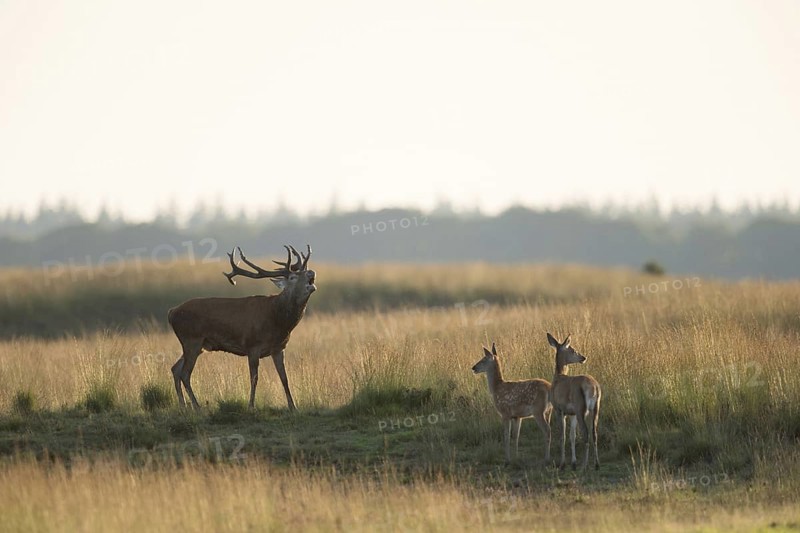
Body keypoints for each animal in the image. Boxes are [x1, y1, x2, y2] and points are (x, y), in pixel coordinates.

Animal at [168, 244, 316, 411]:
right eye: (292, 277)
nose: (311, 272)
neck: (278, 321)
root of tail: (172, 312)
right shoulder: (252, 346)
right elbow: (254, 378)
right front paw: (251, 406)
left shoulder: (279, 348)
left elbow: (284, 378)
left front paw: (293, 407)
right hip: (191, 339)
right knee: (185, 373)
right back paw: (197, 406)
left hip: (198, 345)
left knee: (175, 369)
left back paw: (183, 406)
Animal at [546, 333, 601, 471]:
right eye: (573, 349)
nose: (583, 357)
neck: (557, 378)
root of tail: (594, 387)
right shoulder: (572, 413)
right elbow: (572, 436)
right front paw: (573, 463)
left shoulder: (559, 409)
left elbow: (563, 436)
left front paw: (562, 463)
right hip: (595, 408)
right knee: (594, 433)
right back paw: (596, 464)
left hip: (581, 407)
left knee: (586, 433)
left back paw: (585, 465)